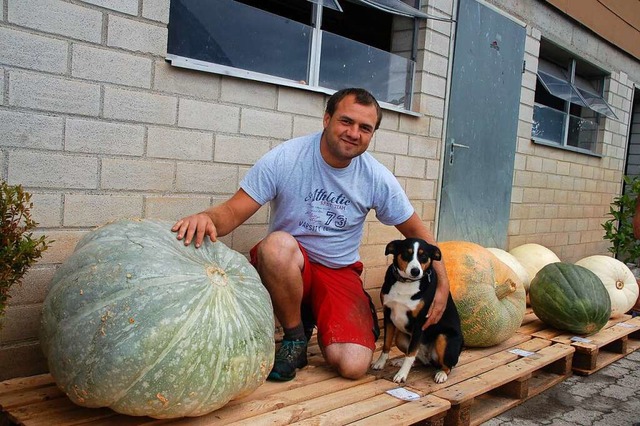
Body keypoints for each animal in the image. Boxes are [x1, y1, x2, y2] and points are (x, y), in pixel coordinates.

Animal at [370, 238, 464, 384]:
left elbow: (411, 353)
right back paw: (401, 361)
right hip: (401, 337)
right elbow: (387, 344)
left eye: (423, 256)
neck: (406, 283)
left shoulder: (420, 322)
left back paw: (441, 374)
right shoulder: (388, 315)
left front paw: (402, 374)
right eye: (406, 253)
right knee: (419, 359)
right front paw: (380, 363)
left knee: (447, 365)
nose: (415, 271)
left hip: (444, 338)